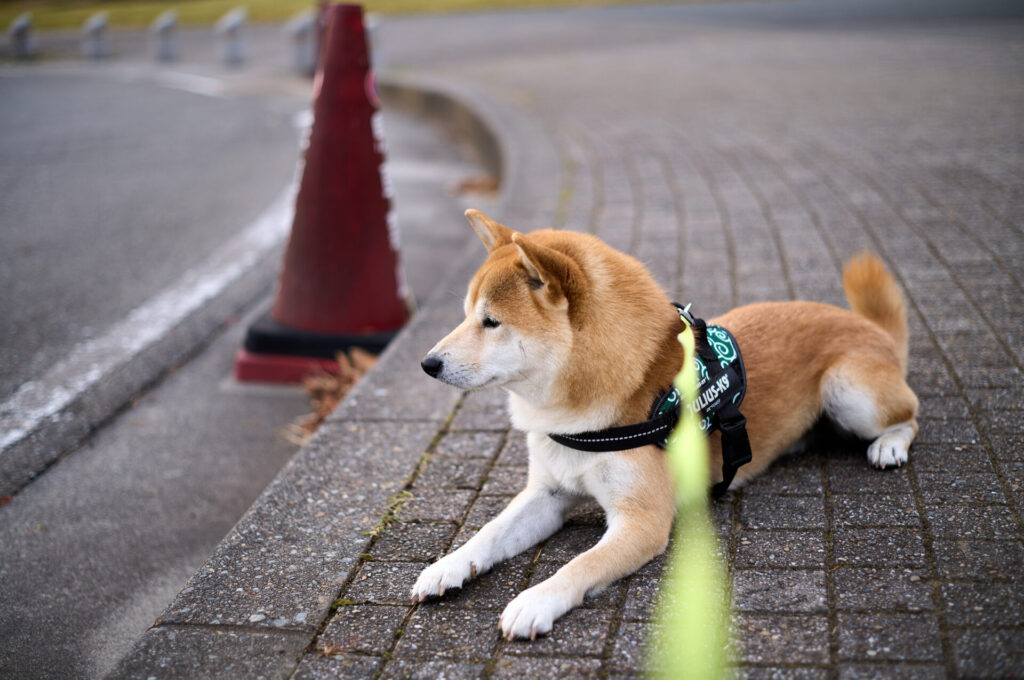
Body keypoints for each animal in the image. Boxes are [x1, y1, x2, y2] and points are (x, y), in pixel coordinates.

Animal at [411, 209, 917, 639]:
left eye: (491, 322)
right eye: (466, 315)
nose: (427, 364)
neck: (580, 416)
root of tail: (868, 325)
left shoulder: (642, 521)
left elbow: (578, 566)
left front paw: (536, 600)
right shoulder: (547, 495)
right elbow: (489, 532)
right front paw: (448, 566)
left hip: (850, 392)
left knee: (909, 413)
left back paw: (889, 445)